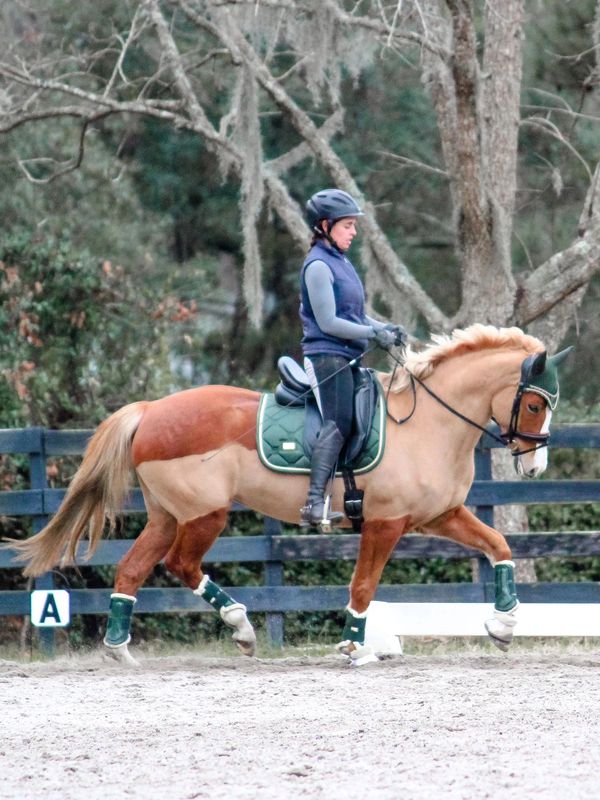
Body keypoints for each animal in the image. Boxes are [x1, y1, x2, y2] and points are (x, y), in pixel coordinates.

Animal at [9, 322, 572, 664]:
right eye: (535, 405)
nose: (536, 465)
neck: (429, 423)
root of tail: (150, 410)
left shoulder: (440, 515)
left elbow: (498, 545)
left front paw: (504, 625)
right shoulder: (386, 522)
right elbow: (363, 585)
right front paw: (353, 646)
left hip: (168, 515)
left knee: (133, 569)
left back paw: (120, 649)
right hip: (205, 514)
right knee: (180, 564)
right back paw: (240, 626)